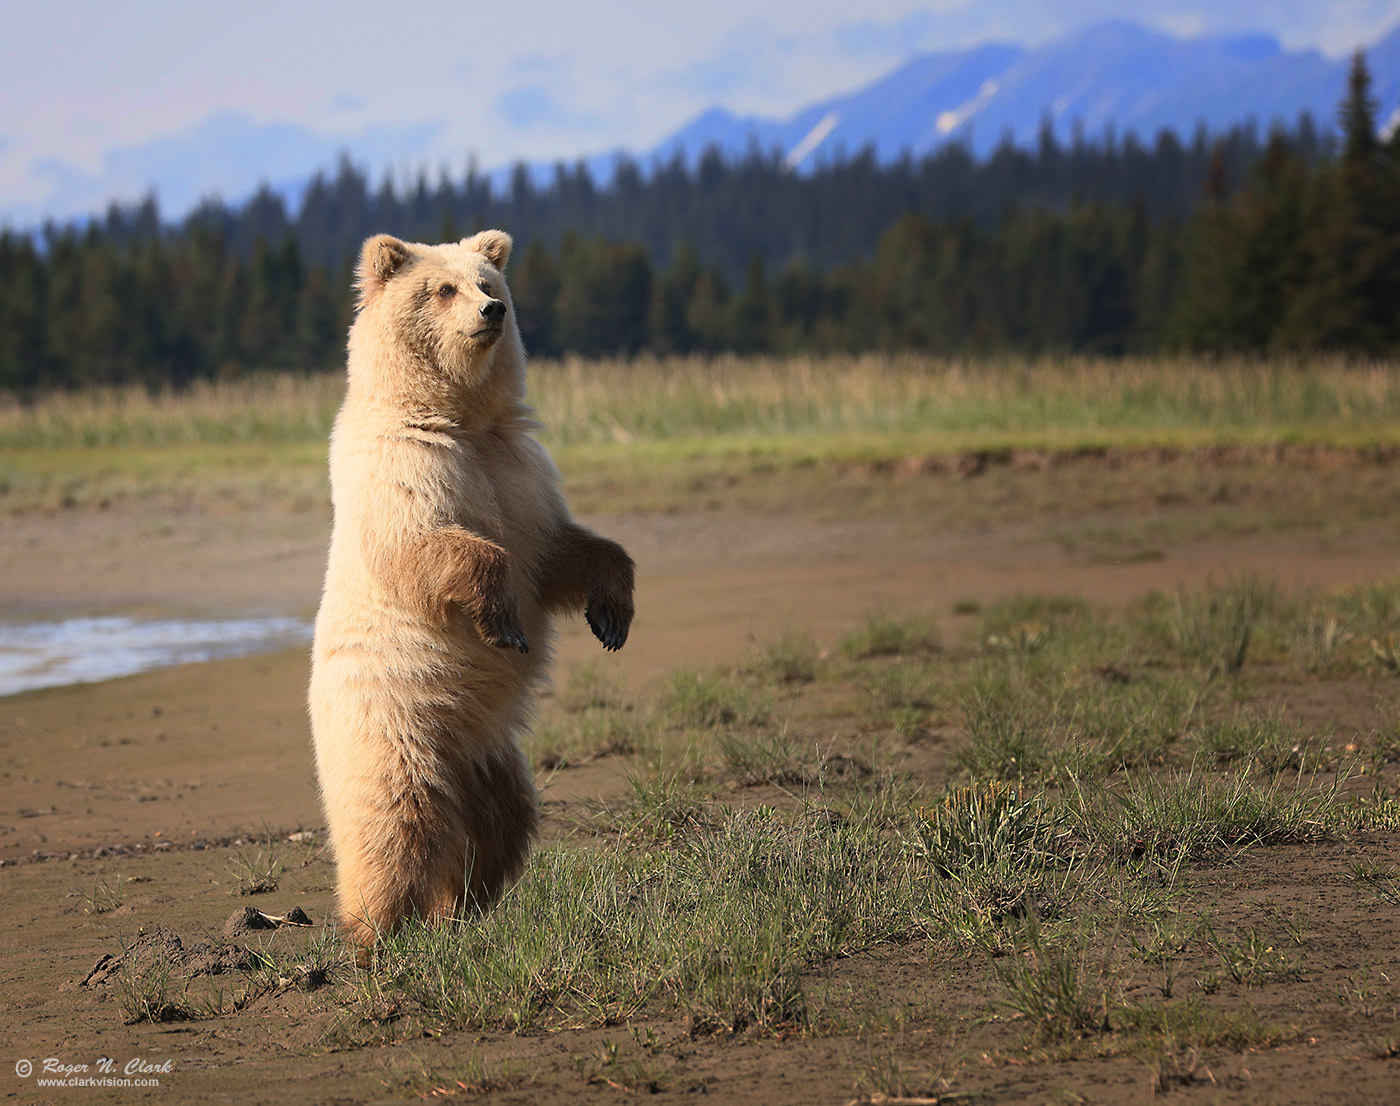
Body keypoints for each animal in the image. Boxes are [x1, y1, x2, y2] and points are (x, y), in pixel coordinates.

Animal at [312, 229, 635, 963]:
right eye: (442, 288)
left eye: (489, 281)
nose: (493, 312)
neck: (458, 418)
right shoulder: (408, 466)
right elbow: (431, 545)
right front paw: (504, 624)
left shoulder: (518, 474)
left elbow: (559, 551)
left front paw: (612, 614)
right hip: (396, 726)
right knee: (395, 826)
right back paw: (374, 934)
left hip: (488, 754)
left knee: (503, 825)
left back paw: (462, 906)